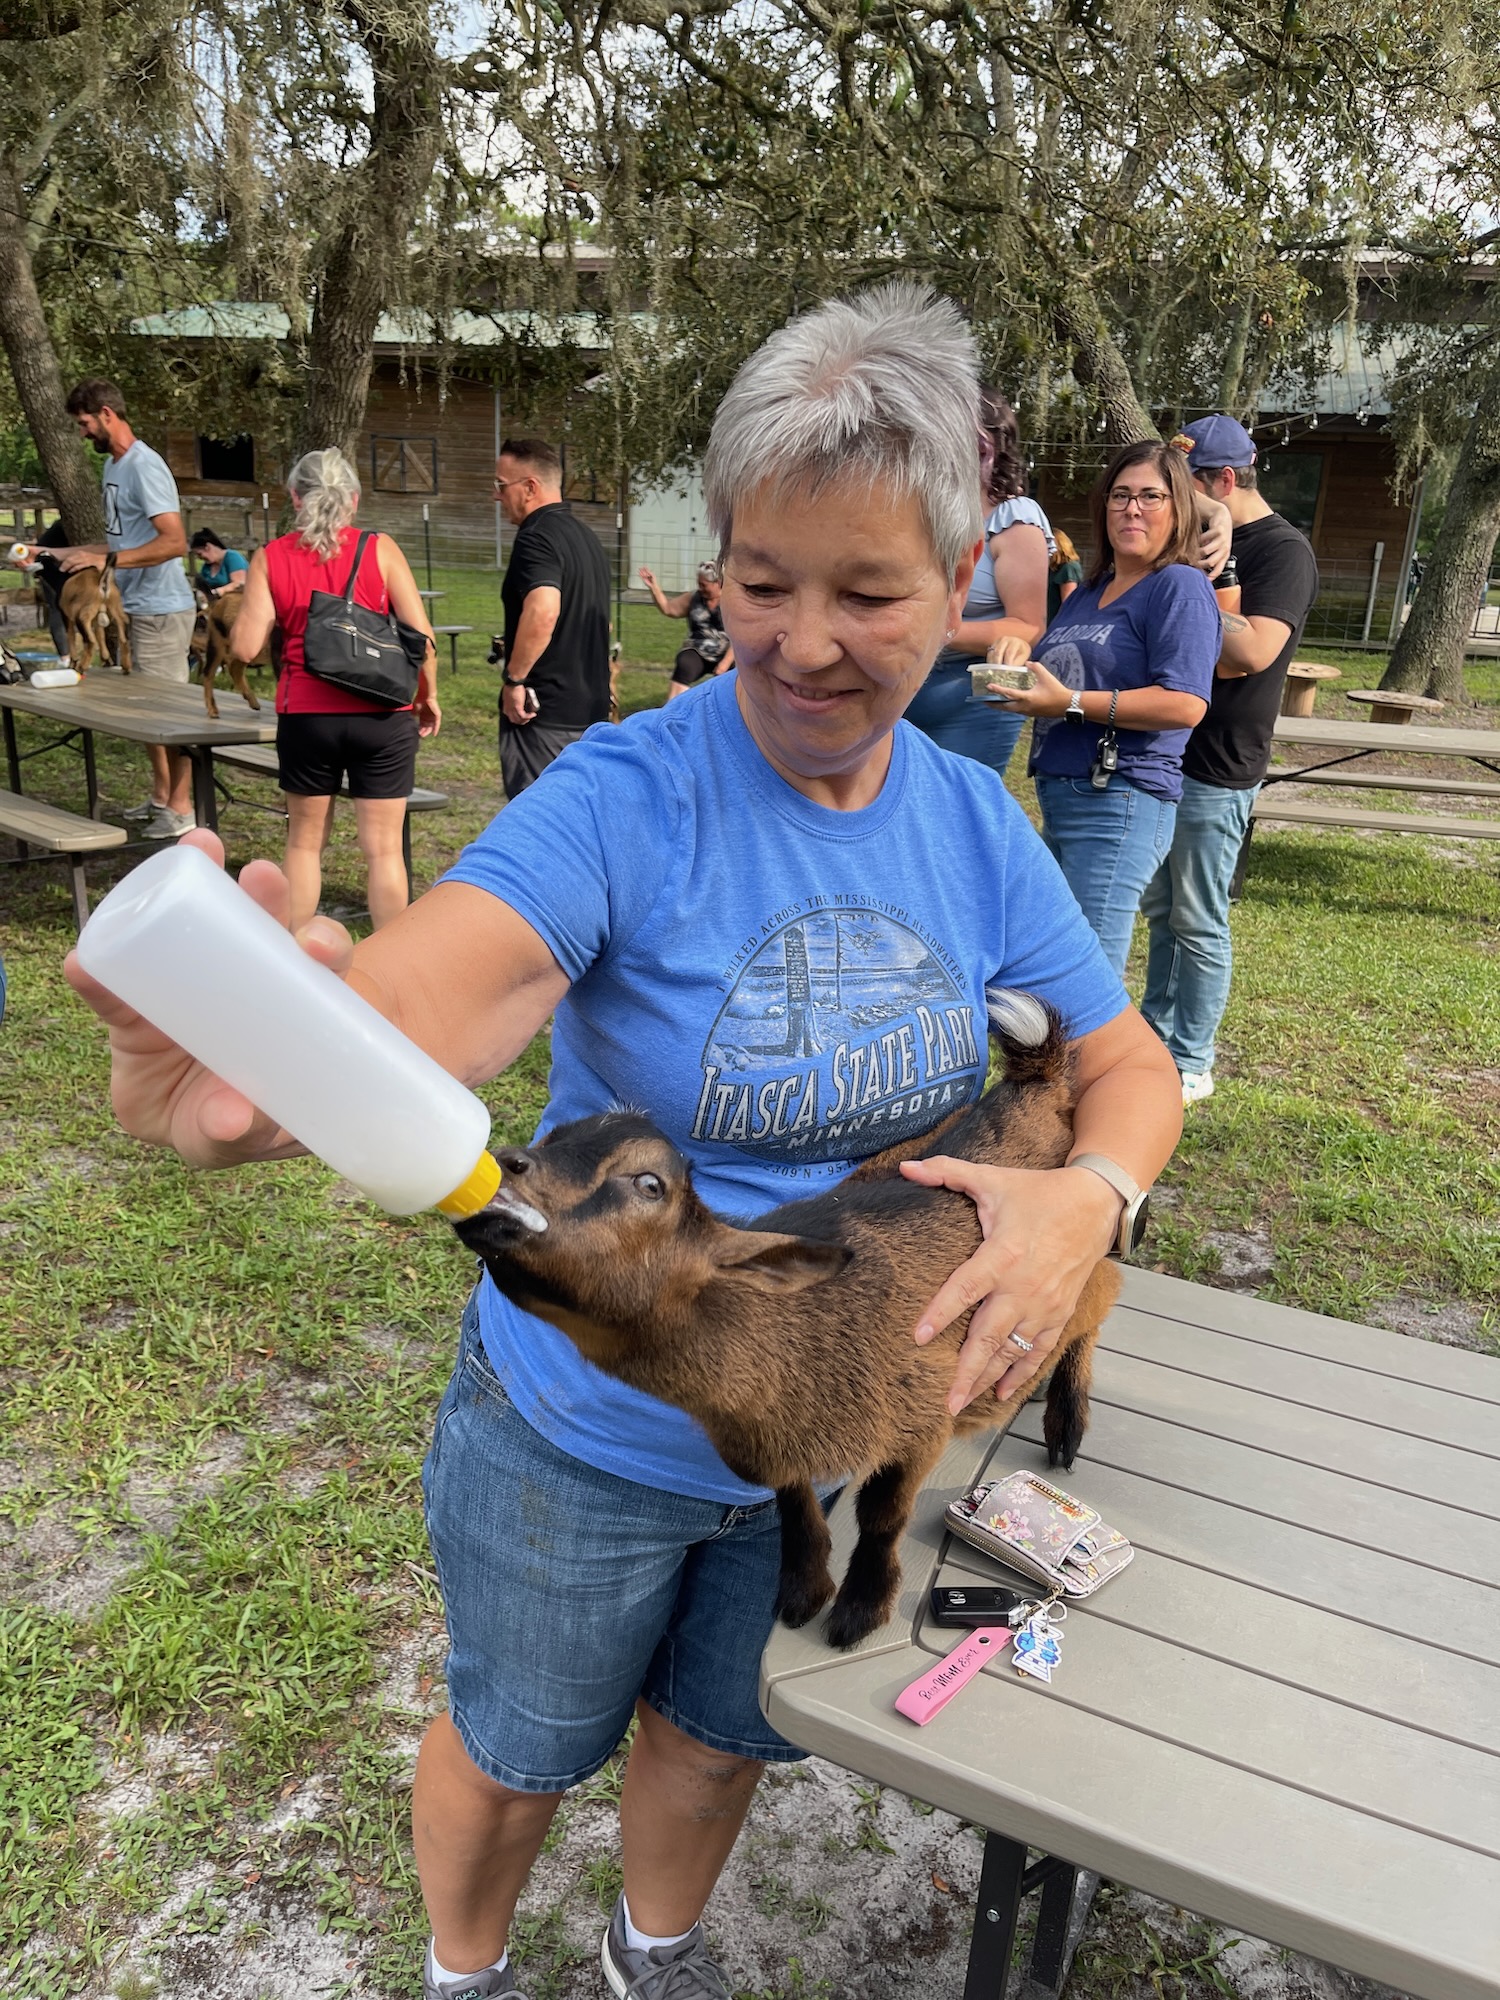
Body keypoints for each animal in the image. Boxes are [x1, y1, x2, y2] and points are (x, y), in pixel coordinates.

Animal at [453, 993, 1119, 1651]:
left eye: (648, 1184)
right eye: (550, 1139)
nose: (502, 1166)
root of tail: (1035, 1083)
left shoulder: (925, 1414)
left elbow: (882, 1516)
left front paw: (860, 1610)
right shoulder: (771, 1447)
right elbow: (796, 1510)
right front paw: (803, 1595)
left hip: (1070, 1270)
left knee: (1104, 1296)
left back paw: (1066, 1424)